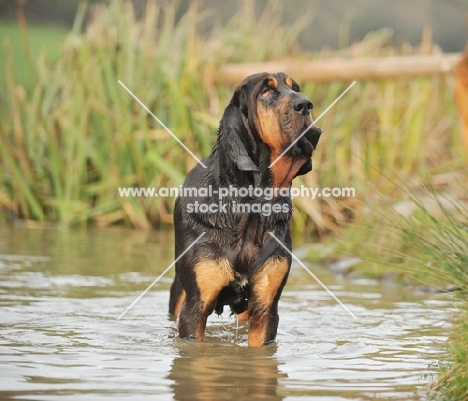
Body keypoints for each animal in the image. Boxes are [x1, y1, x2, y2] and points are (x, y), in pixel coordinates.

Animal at [169, 72, 322, 346]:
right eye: (265, 92)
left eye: (294, 88)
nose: (306, 104)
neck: (252, 203)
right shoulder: (194, 307)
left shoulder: (265, 307)